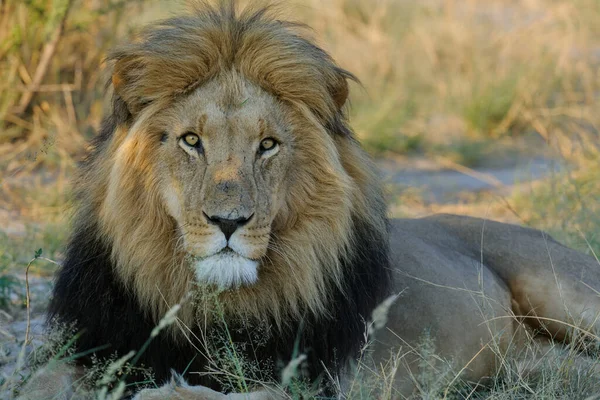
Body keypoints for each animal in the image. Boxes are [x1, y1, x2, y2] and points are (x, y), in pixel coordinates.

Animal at [17, 1, 600, 398]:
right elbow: (41, 380)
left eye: (268, 145)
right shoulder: (96, 344)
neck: (213, 303)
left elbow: (217, 395)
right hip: (533, 363)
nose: (228, 222)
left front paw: (169, 391)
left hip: (566, 292)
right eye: (191, 140)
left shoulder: (311, 379)